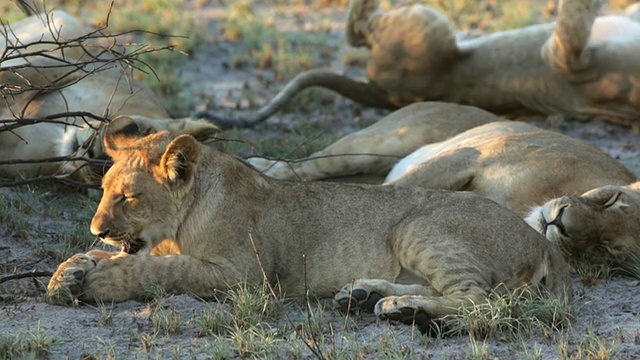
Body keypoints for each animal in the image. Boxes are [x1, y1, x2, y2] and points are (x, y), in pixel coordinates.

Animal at [47, 115, 572, 332]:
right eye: (102, 191)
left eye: (129, 197)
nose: (96, 227)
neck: (180, 224)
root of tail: (540, 240)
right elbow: (111, 258)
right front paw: (68, 272)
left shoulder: (245, 275)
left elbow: (159, 271)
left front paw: (98, 280)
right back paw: (367, 297)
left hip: (417, 226)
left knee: (482, 301)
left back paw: (404, 310)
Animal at [202, 0, 640, 129]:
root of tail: (381, 94)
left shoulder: (570, 65)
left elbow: (573, 23)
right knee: (356, 30)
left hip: (428, 26)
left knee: (357, 28)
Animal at [249, 102, 640, 268]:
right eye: (609, 199)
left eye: (606, 249)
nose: (560, 222)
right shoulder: (470, 155)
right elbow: (393, 194)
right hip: (384, 140)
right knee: (313, 162)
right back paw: (261, 165)